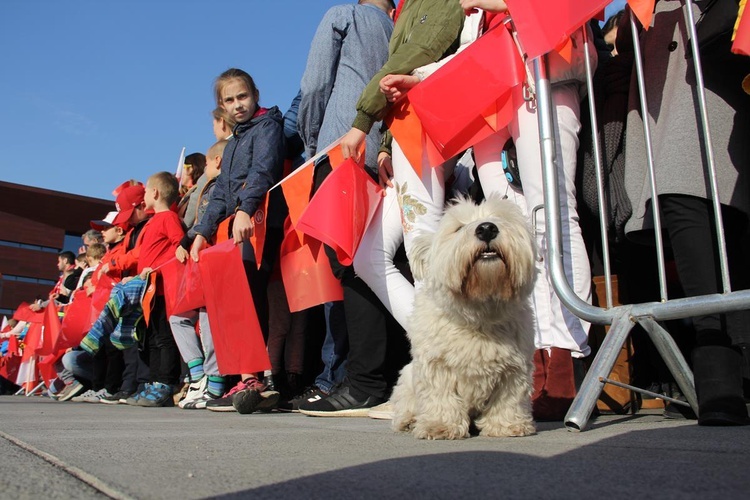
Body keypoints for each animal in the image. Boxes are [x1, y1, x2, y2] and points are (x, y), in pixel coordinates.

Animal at [394, 197, 540, 440]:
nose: (487, 228)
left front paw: (507, 426)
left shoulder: (514, 369)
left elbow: (508, 399)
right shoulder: (436, 365)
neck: (478, 315)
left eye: (502, 218)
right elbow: (441, 397)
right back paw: (409, 420)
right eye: (458, 228)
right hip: (407, 376)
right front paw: (439, 426)